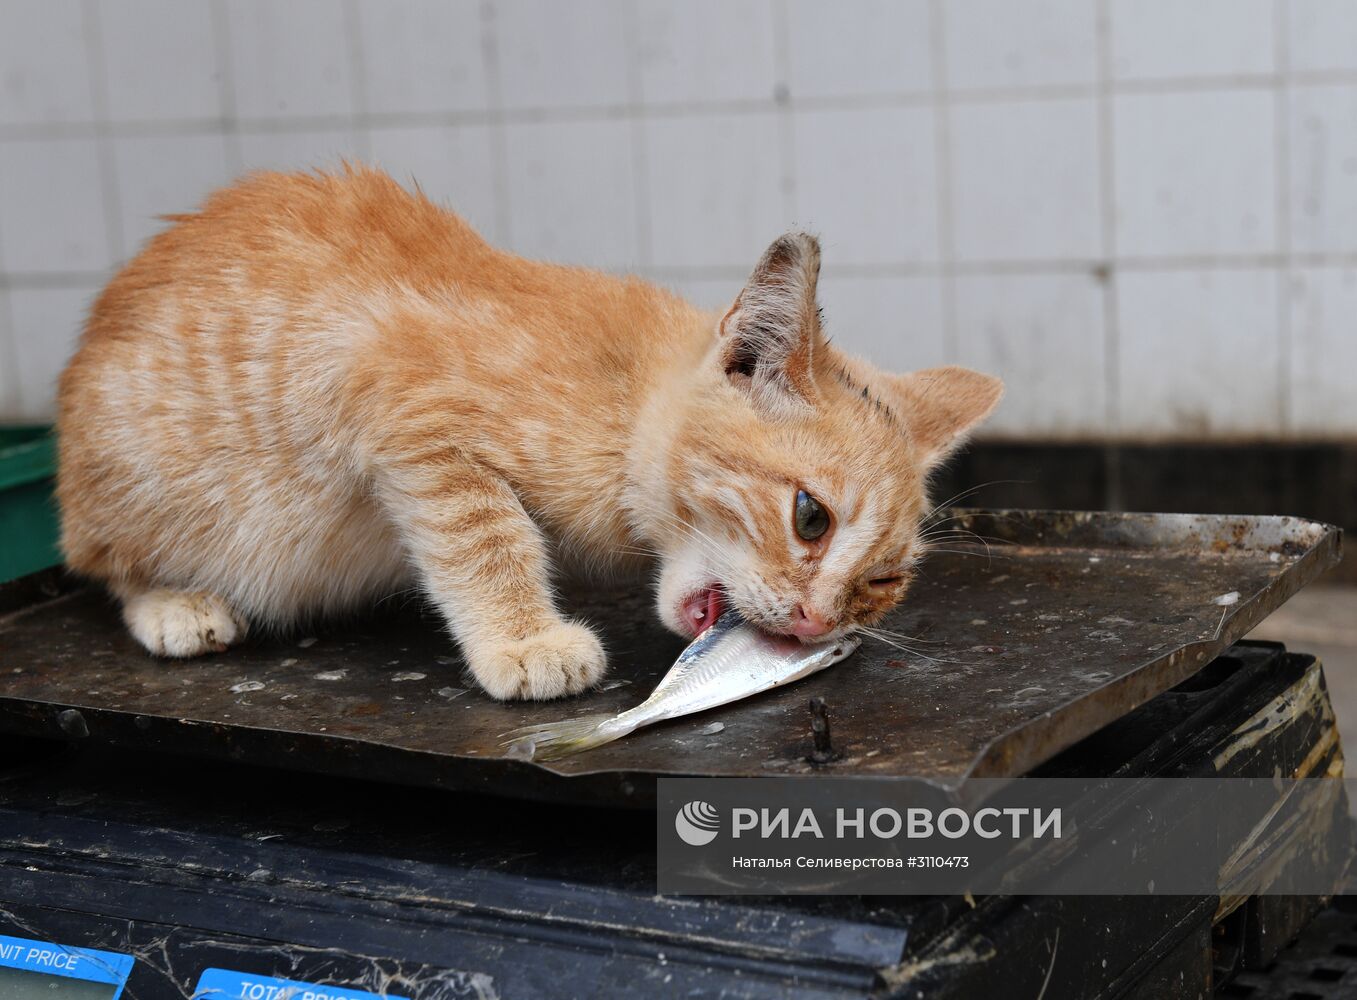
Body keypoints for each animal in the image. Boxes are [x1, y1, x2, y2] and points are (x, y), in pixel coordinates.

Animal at [55, 167, 998, 700]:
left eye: (880, 582)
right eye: (810, 517)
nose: (811, 624)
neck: (617, 400)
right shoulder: (403, 410)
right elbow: (483, 533)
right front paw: (524, 639)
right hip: (132, 474)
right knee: (98, 563)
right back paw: (172, 602)